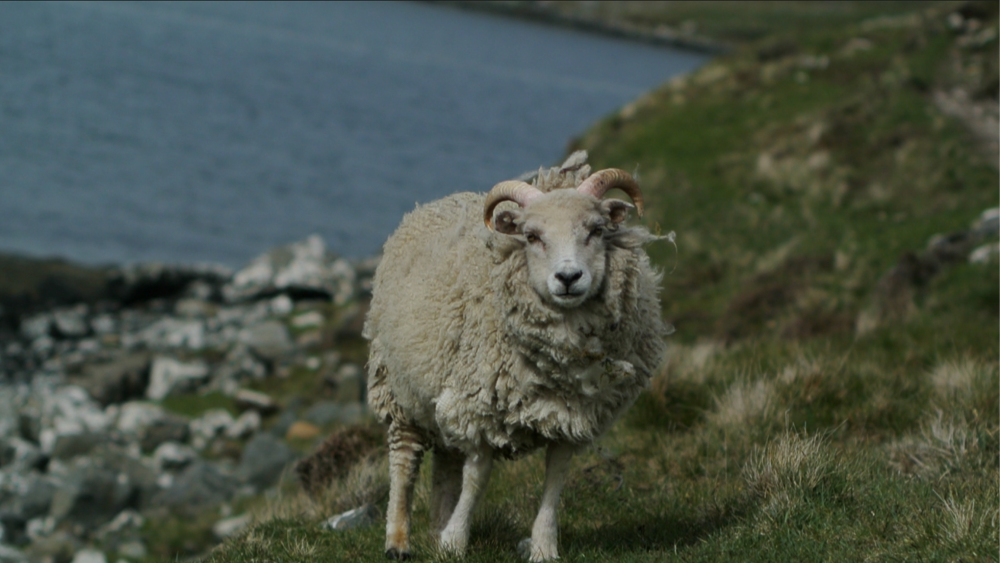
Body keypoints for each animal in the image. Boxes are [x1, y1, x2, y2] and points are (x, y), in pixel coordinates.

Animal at [363, 152, 668, 561]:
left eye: (596, 230)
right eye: (532, 236)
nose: (568, 277)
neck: (560, 362)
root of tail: (430, 204)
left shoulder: (572, 415)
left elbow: (555, 480)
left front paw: (542, 546)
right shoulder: (479, 406)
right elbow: (477, 478)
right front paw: (456, 540)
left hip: (440, 390)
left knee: (445, 460)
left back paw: (437, 526)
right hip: (397, 388)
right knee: (404, 458)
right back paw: (398, 540)